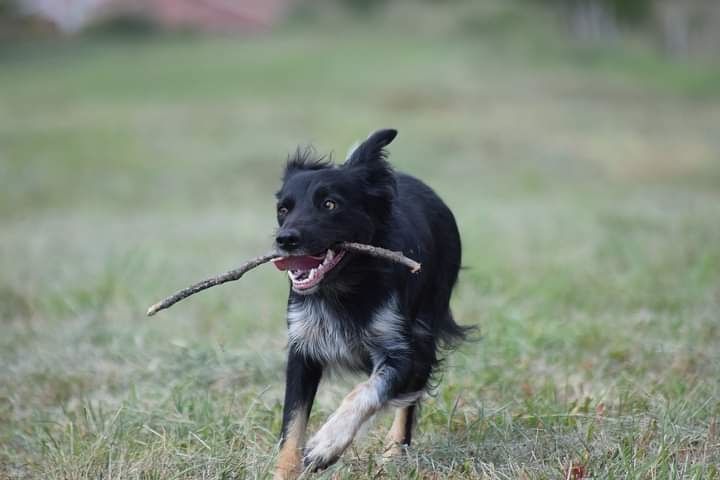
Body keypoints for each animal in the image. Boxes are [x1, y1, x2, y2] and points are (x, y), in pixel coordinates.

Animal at [270, 128, 466, 480]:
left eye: (329, 204)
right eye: (283, 209)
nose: (285, 240)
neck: (344, 287)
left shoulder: (401, 352)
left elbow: (365, 392)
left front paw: (326, 445)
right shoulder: (302, 349)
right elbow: (292, 425)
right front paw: (286, 470)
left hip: (425, 328)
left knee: (407, 401)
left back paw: (394, 452)